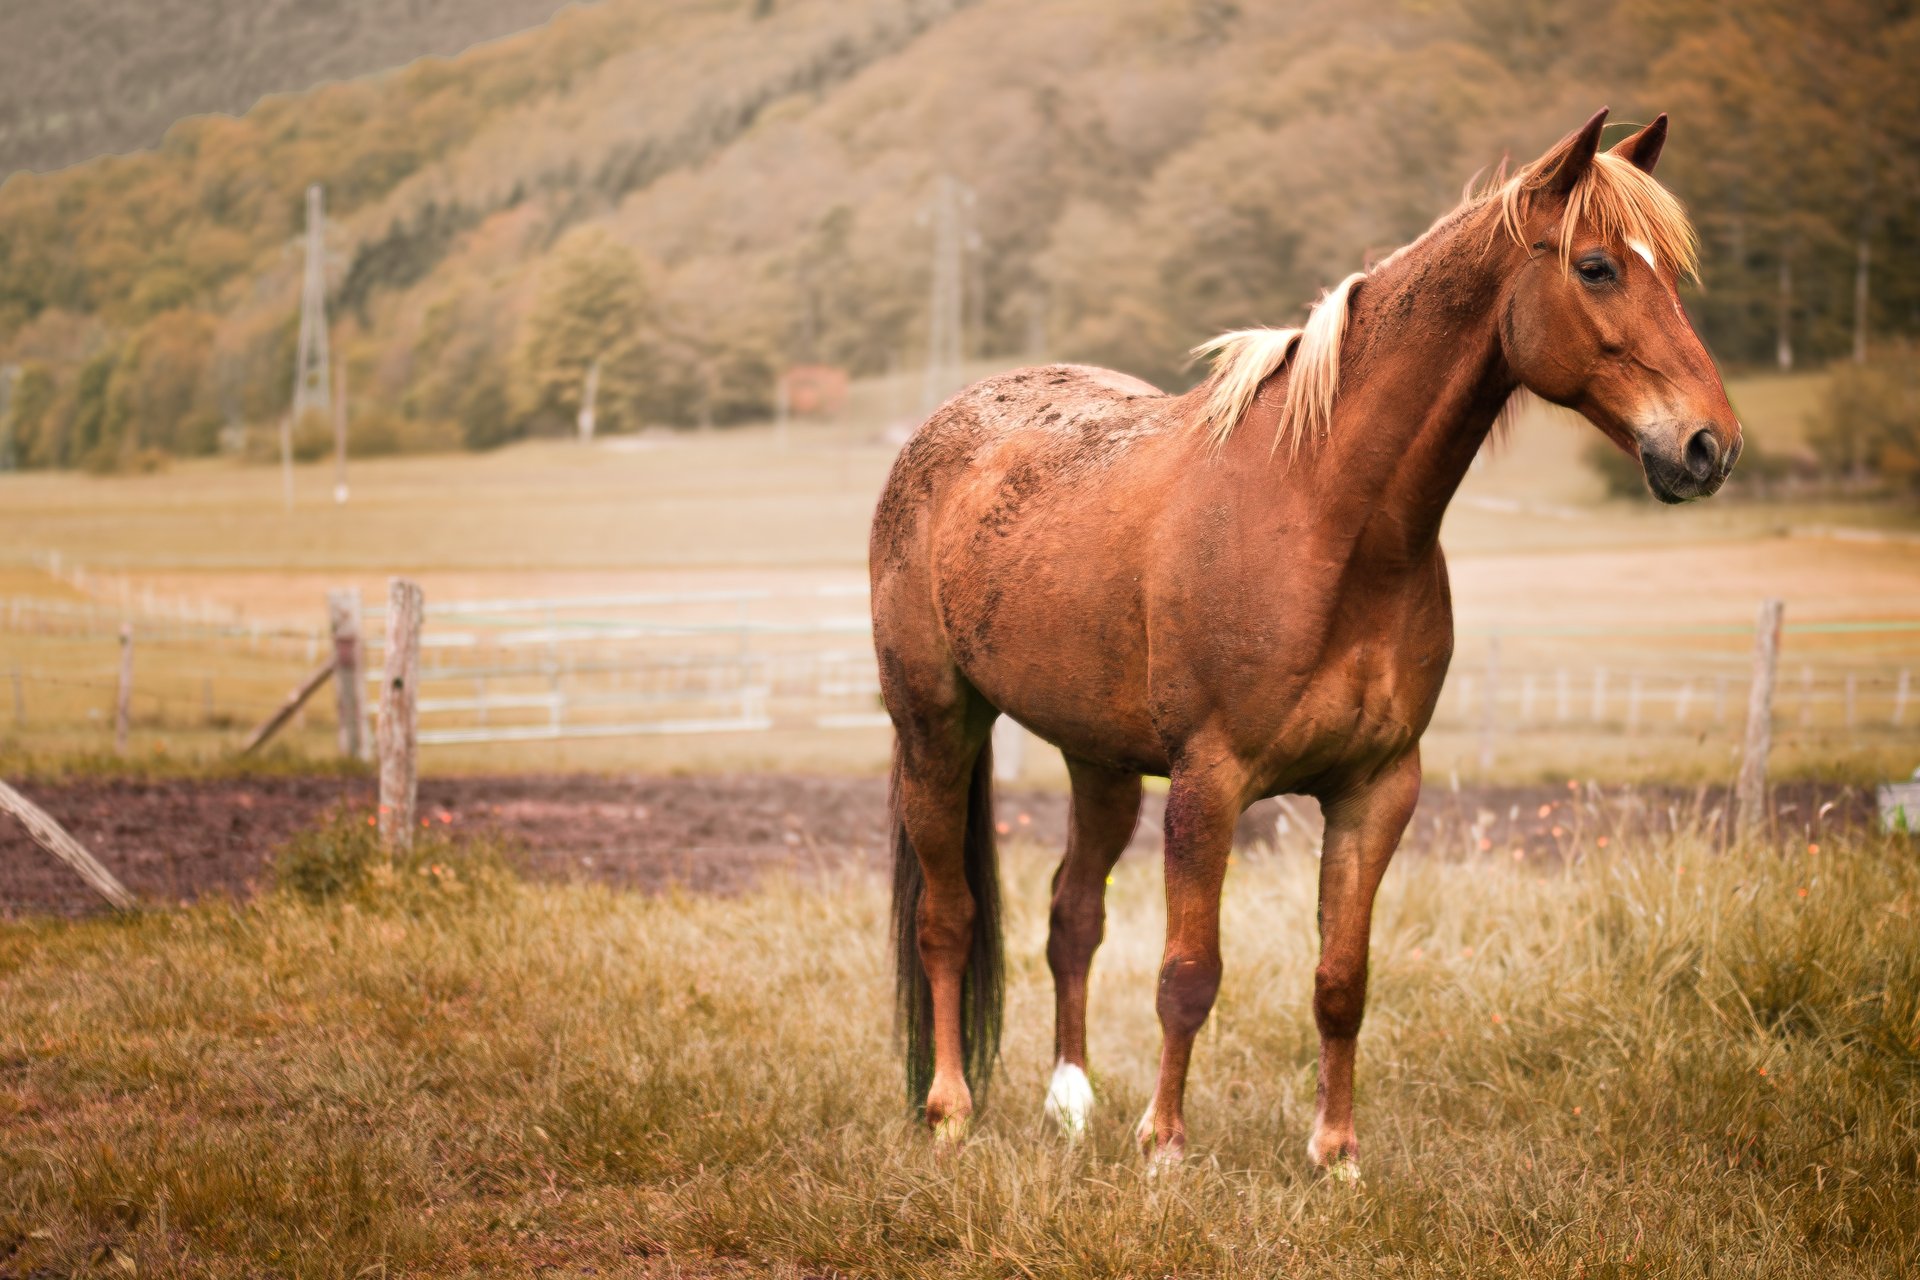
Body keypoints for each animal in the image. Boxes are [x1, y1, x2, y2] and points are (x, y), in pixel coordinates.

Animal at [869, 107, 1741, 1173]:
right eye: (1598, 267)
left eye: (1670, 270)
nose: (1708, 446)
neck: (1327, 520)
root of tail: (945, 425)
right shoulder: (1209, 785)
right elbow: (1188, 974)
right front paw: (1164, 1145)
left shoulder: (1376, 790)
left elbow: (1340, 980)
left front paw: (1336, 1153)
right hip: (935, 729)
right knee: (947, 920)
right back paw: (950, 1107)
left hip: (1099, 761)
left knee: (1072, 916)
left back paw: (1070, 1103)